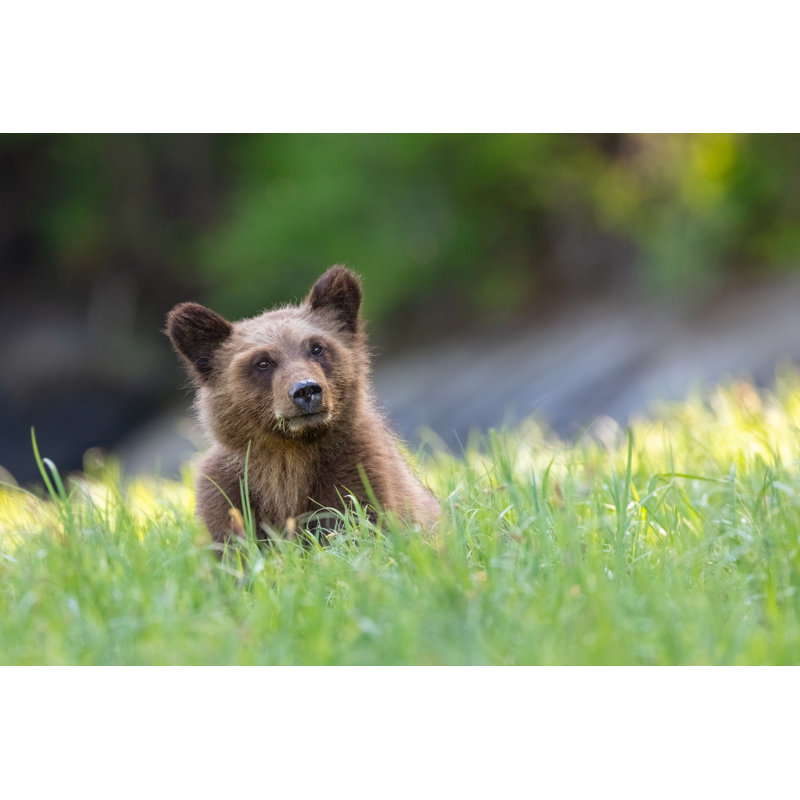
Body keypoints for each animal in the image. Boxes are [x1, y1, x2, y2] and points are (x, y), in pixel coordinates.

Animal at [166, 265, 440, 544]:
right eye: (262, 362)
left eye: (316, 348)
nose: (306, 390)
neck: (291, 451)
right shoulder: (230, 495)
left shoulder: (358, 473)